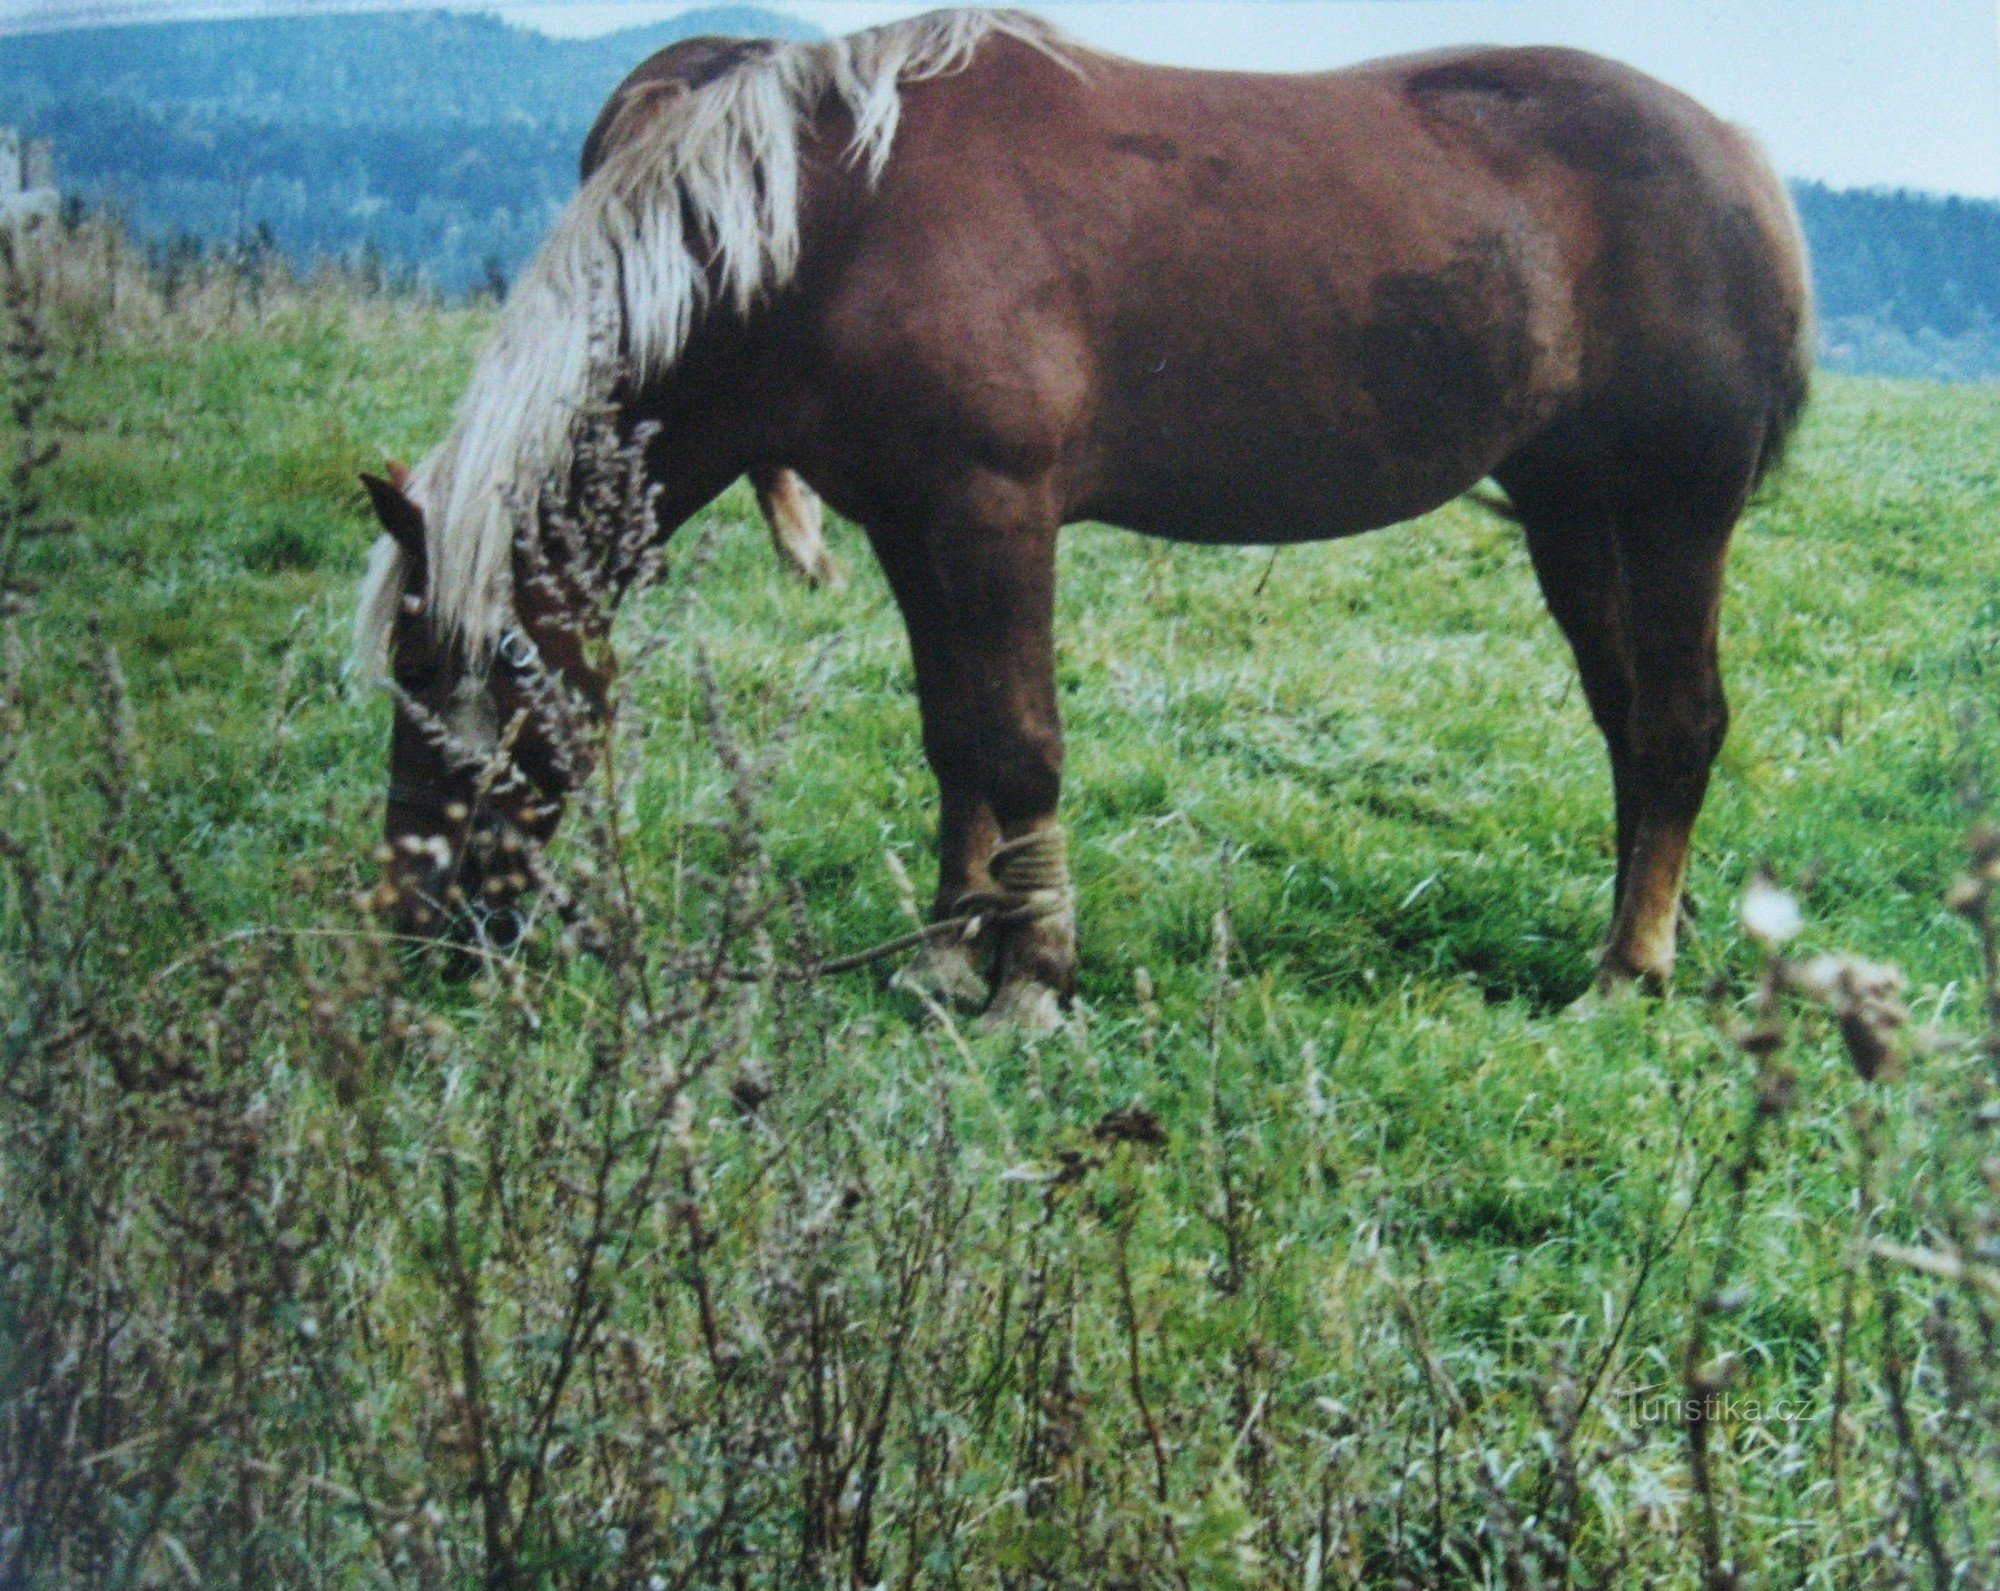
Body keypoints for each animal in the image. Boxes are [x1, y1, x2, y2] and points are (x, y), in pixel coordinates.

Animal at [356, 9, 1816, 1031]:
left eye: (453, 681)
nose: (419, 926)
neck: (835, 230)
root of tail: (1738, 157)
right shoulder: (908, 525)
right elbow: (953, 740)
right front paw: (954, 950)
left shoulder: (996, 519)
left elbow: (1020, 748)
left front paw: (1034, 977)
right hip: (1572, 513)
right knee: (1630, 726)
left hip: (1673, 511)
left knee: (1679, 722)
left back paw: (1626, 970)